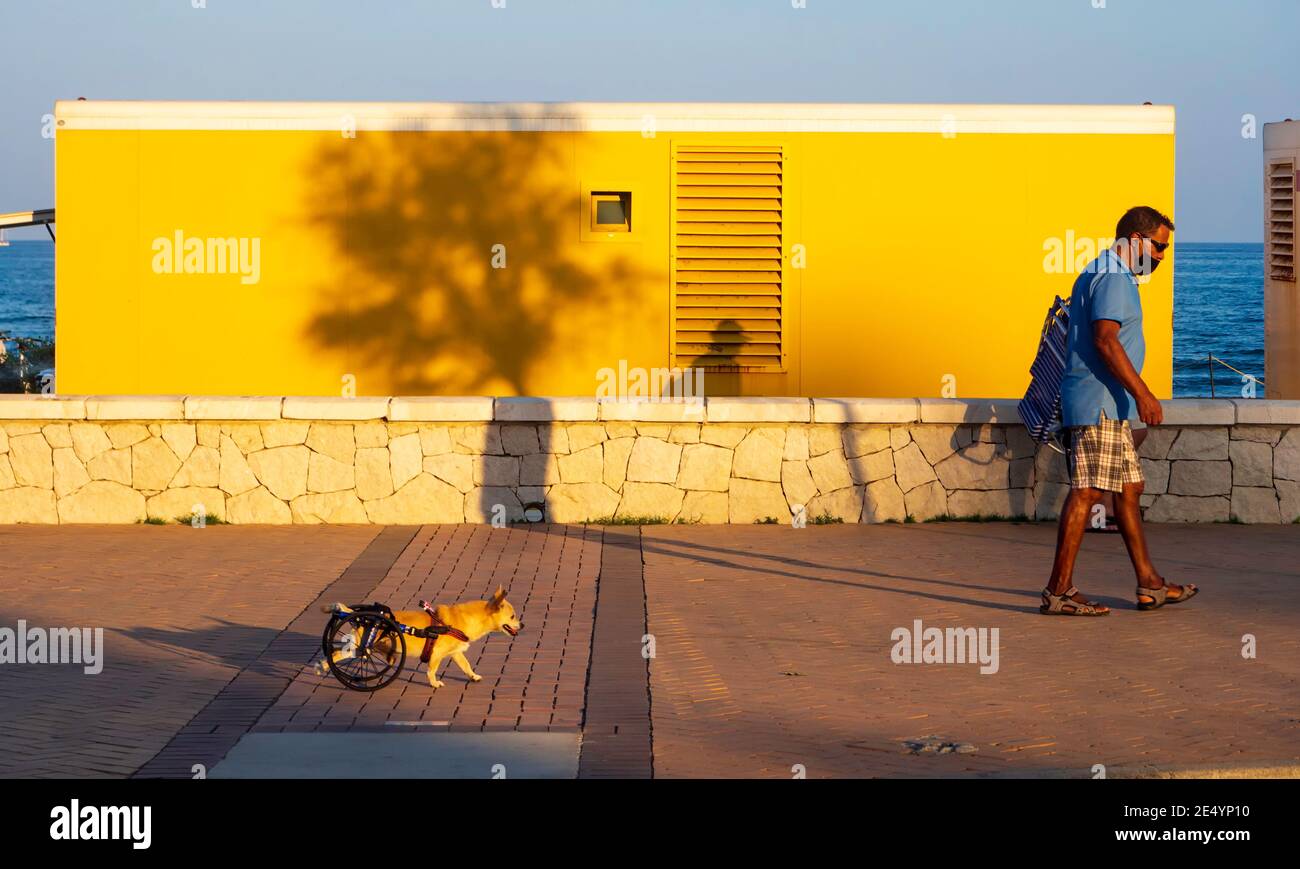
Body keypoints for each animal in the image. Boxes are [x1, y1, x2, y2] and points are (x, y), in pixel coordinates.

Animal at [317, 588, 520, 686]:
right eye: (512, 617)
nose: (523, 625)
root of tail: (357, 615)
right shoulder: (436, 654)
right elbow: (432, 669)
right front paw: (434, 683)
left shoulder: (456, 653)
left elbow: (466, 666)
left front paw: (474, 676)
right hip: (360, 647)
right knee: (337, 654)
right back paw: (322, 667)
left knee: (334, 654)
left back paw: (322, 667)